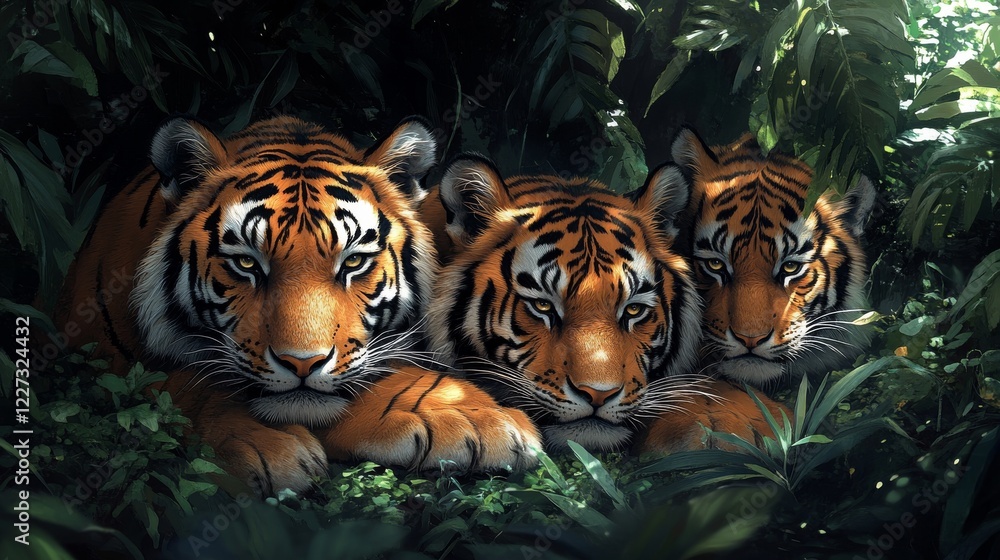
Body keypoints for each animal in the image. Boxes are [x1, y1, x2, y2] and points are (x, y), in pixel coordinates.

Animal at [52, 116, 540, 495]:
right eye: (247, 262)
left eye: (354, 261)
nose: (302, 364)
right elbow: (183, 386)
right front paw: (267, 445)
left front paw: (472, 417)